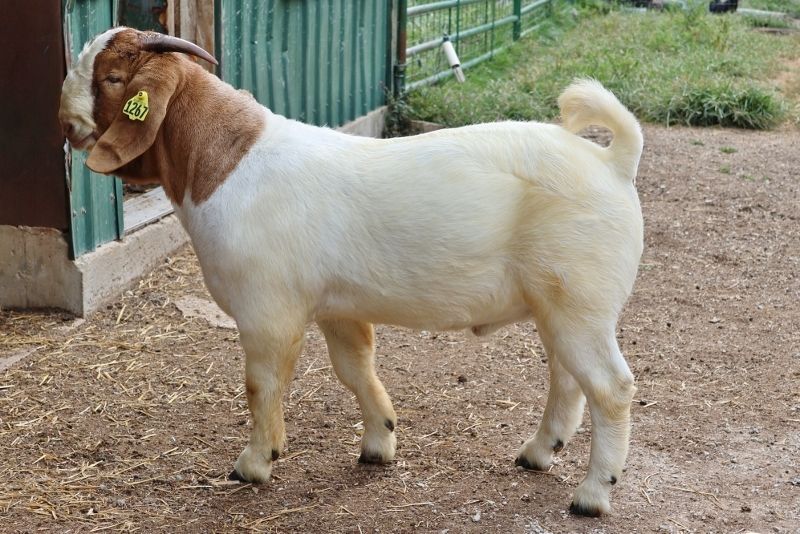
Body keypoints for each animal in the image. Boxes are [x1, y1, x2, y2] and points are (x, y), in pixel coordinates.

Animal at [59, 27, 648, 516]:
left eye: (112, 78)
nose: (65, 123)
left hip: (580, 303)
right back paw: (536, 453)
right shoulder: (336, 309)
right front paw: (379, 443)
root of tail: (612, 164)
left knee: (611, 388)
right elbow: (355, 368)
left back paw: (592, 495)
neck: (228, 165)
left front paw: (254, 463)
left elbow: (262, 383)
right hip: (557, 308)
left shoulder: (267, 311)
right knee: (567, 380)